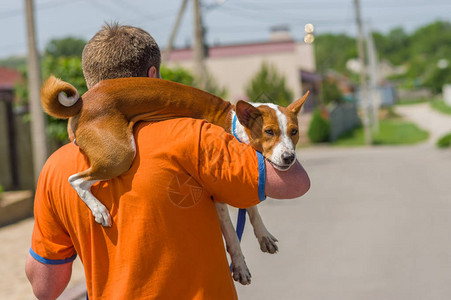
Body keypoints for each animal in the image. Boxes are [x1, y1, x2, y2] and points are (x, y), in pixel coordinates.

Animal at [40, 76, 308, 284]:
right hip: (121, 155)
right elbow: (232, 234)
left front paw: (263, 236)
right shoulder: (219, 197)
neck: (234, 124)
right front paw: (240, 265)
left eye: (294, 132)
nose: (289, 158)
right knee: (75, 180)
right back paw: (98, 209)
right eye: (269, 132)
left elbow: (252, 209)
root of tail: (83, 102)